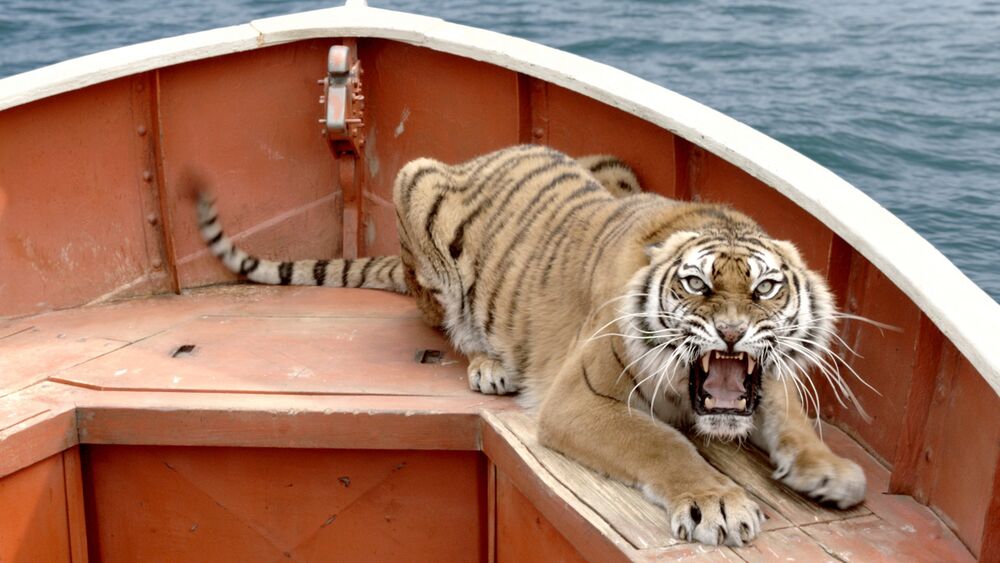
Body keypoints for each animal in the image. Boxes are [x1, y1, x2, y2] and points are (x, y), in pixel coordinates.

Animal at [195, 144, 866, 547]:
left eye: (766, 288)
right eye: (696, 284)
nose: (731, 332)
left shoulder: (764, 382)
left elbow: (790, 414)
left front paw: (832, 472)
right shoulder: (582, 399)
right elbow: (663, 443)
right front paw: (719, 501)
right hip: (419, 192)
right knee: (446, 323)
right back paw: (490, 364)